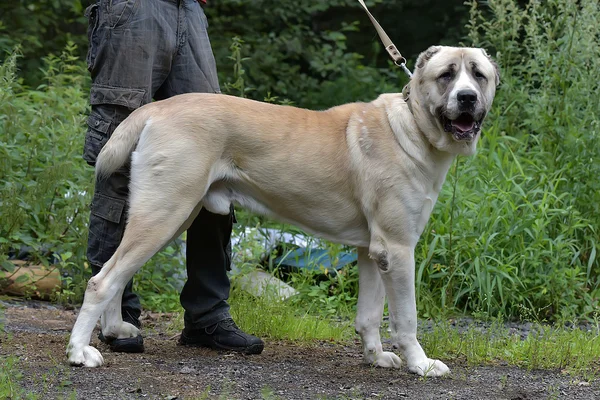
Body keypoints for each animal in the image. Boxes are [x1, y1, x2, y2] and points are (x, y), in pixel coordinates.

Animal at [65, 45, 500, 376]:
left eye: (478, 75)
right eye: (447, 75)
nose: (467, 98)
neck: (413, 127)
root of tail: (157, 108)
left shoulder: (372, 251)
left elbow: (369, 315)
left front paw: (376, 358)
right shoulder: (397, 248)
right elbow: (406, 317)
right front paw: (421, 364)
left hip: (170, 214)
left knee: (115, 272)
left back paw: (116, 329)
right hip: (164, 213)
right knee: (101, 281)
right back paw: (80, 352)